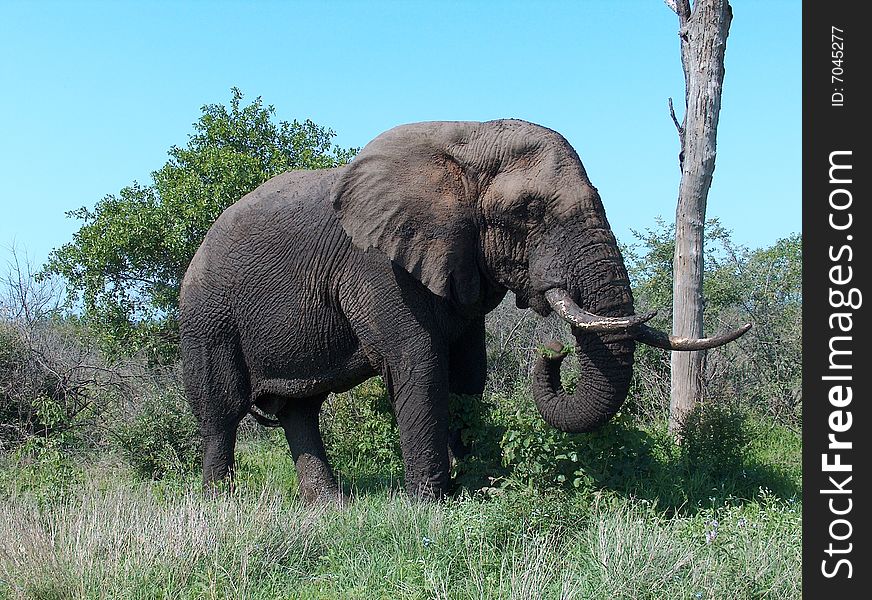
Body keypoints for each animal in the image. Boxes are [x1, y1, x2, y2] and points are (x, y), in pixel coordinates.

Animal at [179, 117, 748, 502]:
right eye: (529, 211)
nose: (553, 351)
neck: (465, 140)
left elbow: (469, 371)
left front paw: (477, 486)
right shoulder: (377, 266)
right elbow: (419, 361)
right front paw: (429, 506)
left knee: (301, 408)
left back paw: (329, 508)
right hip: (207, 314)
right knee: (222, 409)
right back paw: (218, 506)